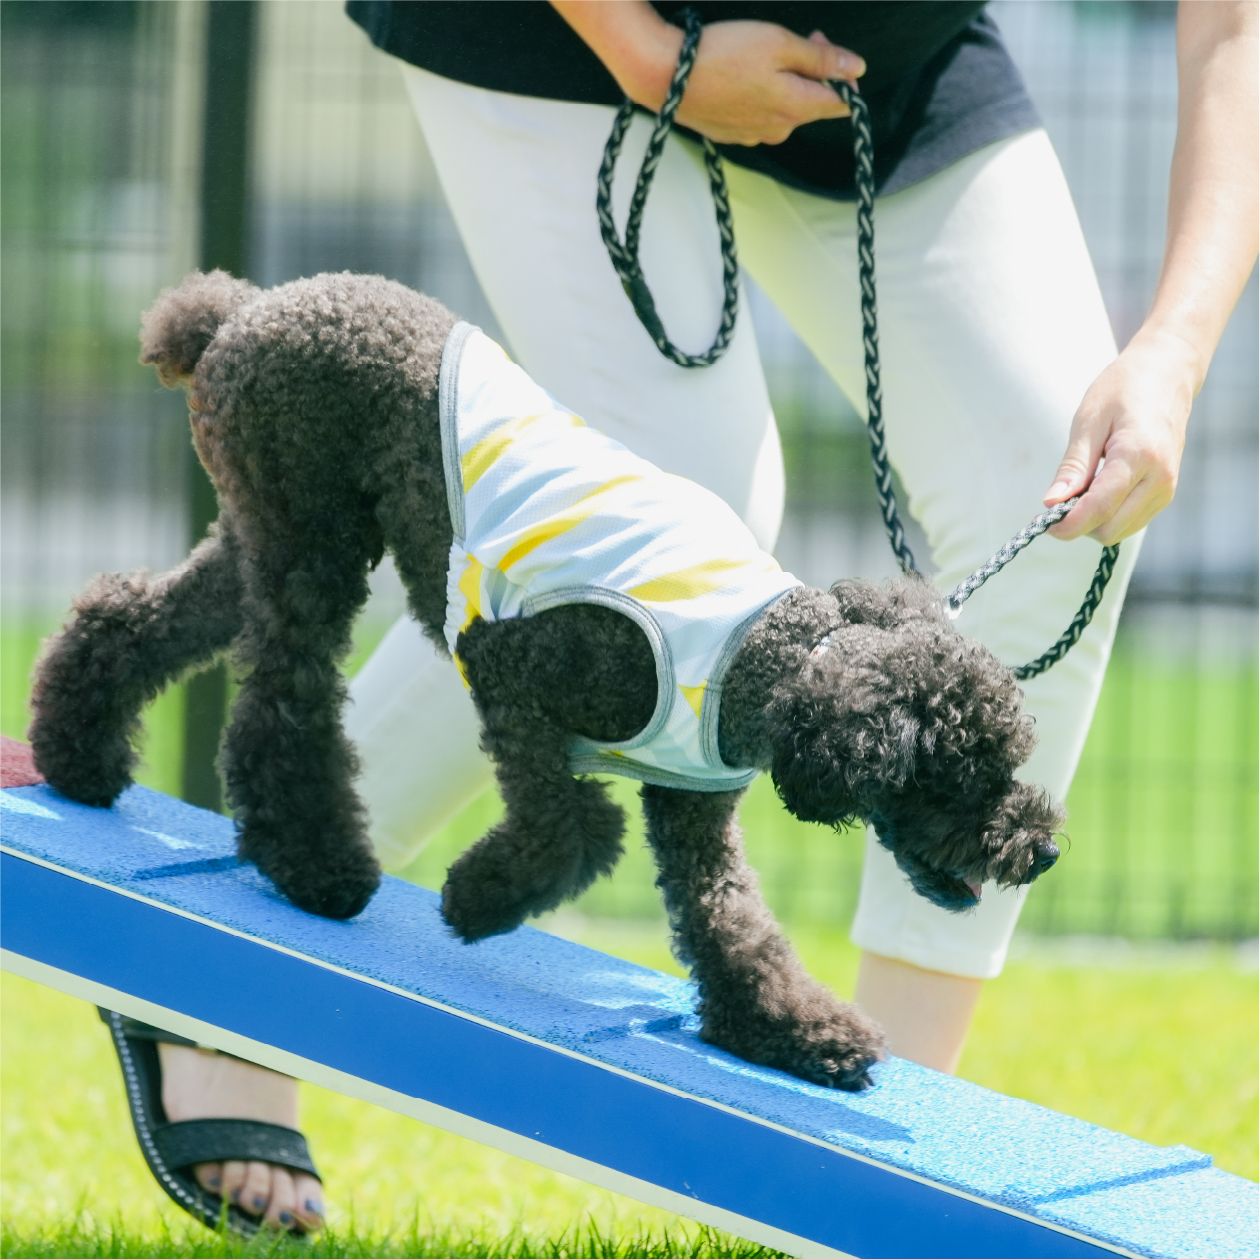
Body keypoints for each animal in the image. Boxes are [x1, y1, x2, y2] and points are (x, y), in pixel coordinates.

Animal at [29, 270, 1063, 1088]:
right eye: (965, 772)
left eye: (1011, 759)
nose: (1043, 847)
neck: (762, 658)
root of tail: (243, 307)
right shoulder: (507, 668)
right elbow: (575, 826)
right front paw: (478, 899)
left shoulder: (694, 805)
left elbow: (730, 920)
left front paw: (799, 1031)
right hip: (308, 536)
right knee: (283, 700)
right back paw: (318, 865)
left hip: (267, 530)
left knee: (140, 613)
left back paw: (77, 758)